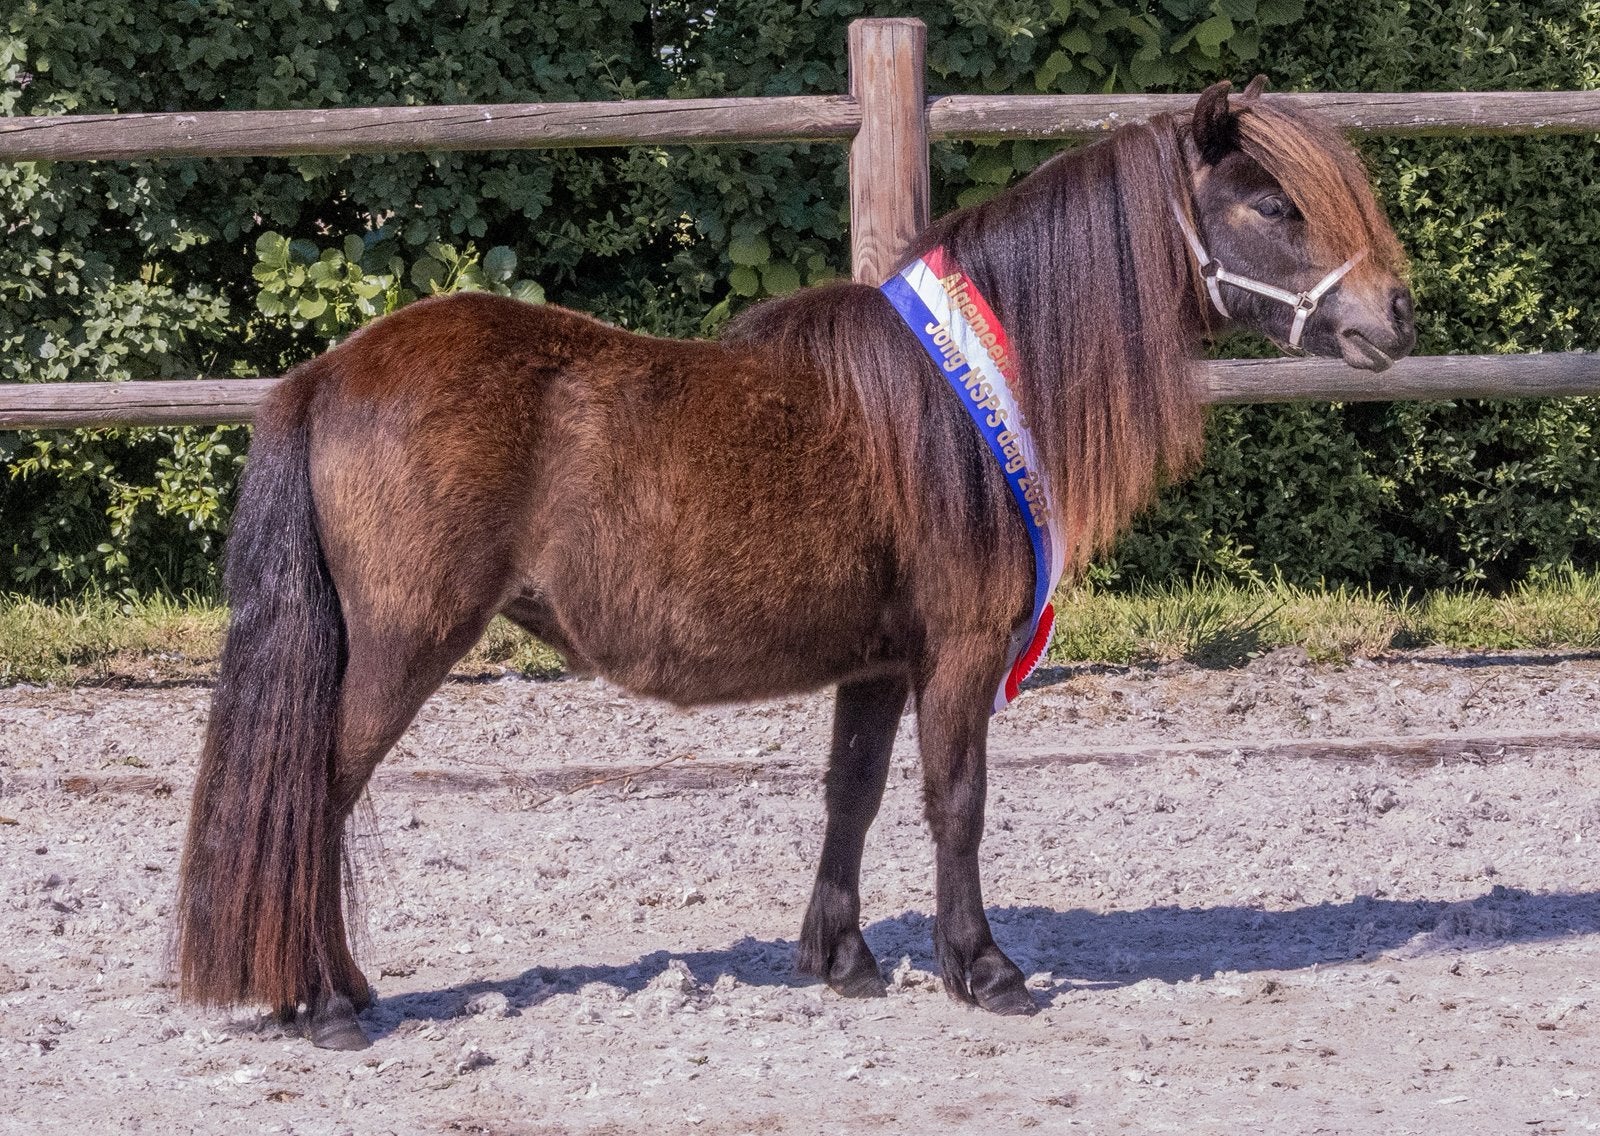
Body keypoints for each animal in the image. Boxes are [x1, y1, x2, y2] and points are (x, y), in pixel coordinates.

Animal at [175, 77, 1415, 1050]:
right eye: (1270, 203)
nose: (1394, 313)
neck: (957, 402)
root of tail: (327, 373)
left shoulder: (875, 660)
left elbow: (851, 793)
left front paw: (842, 955)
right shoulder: (960, 648)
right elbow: (955, 799)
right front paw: (984, 966)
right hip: (404, 642)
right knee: (319, 793)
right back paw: (329, 1001)